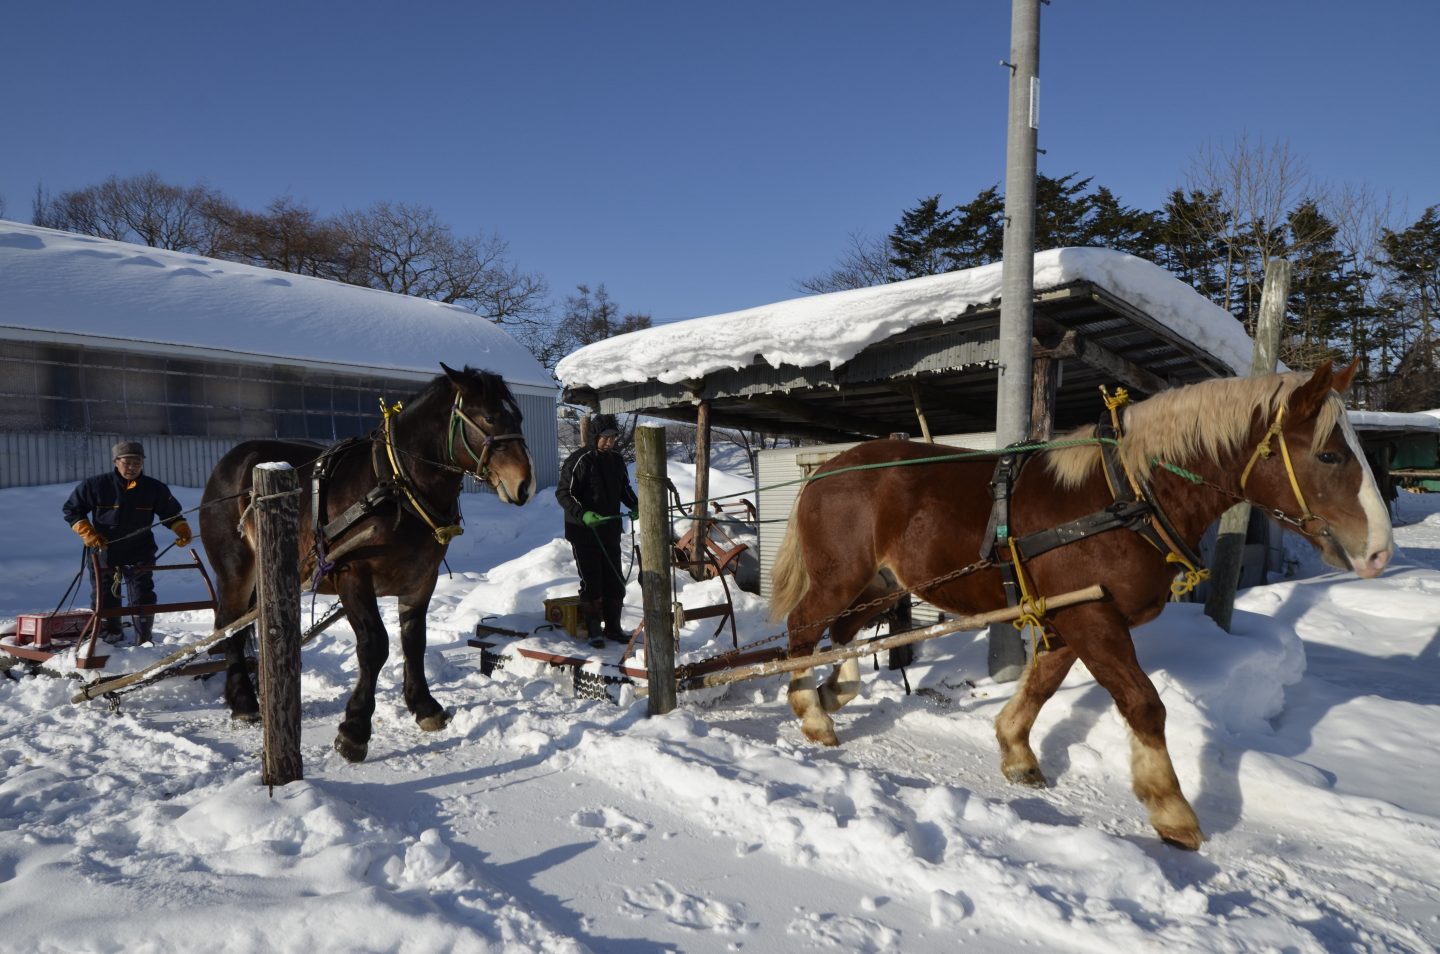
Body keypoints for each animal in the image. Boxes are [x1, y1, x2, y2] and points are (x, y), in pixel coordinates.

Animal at [201, 364, 535, 760]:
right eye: (489, 417)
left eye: (517, 416)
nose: (525, 484)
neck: (396, 484)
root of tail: (229, 463)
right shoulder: (353, 574)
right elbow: (375, 646)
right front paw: (355, 729)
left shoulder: (422, 579)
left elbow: (414, 641)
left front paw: (425, 707)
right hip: (237, 569)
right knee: (230, 626)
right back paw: (243, 701)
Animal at [771, 363, 1388, 847]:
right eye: (1329, 455)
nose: (1380, 552)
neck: (1127, 496)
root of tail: (828, 469)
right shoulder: (1090, 616)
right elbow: (1143, 704)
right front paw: (1171, 810)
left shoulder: (1069, 613)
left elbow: (1042, 684)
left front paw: (1016, 751)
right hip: (841, 578)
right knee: (803, 629)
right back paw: (813, 713)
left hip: (879, 585)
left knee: (841, 633)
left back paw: (835, 691)